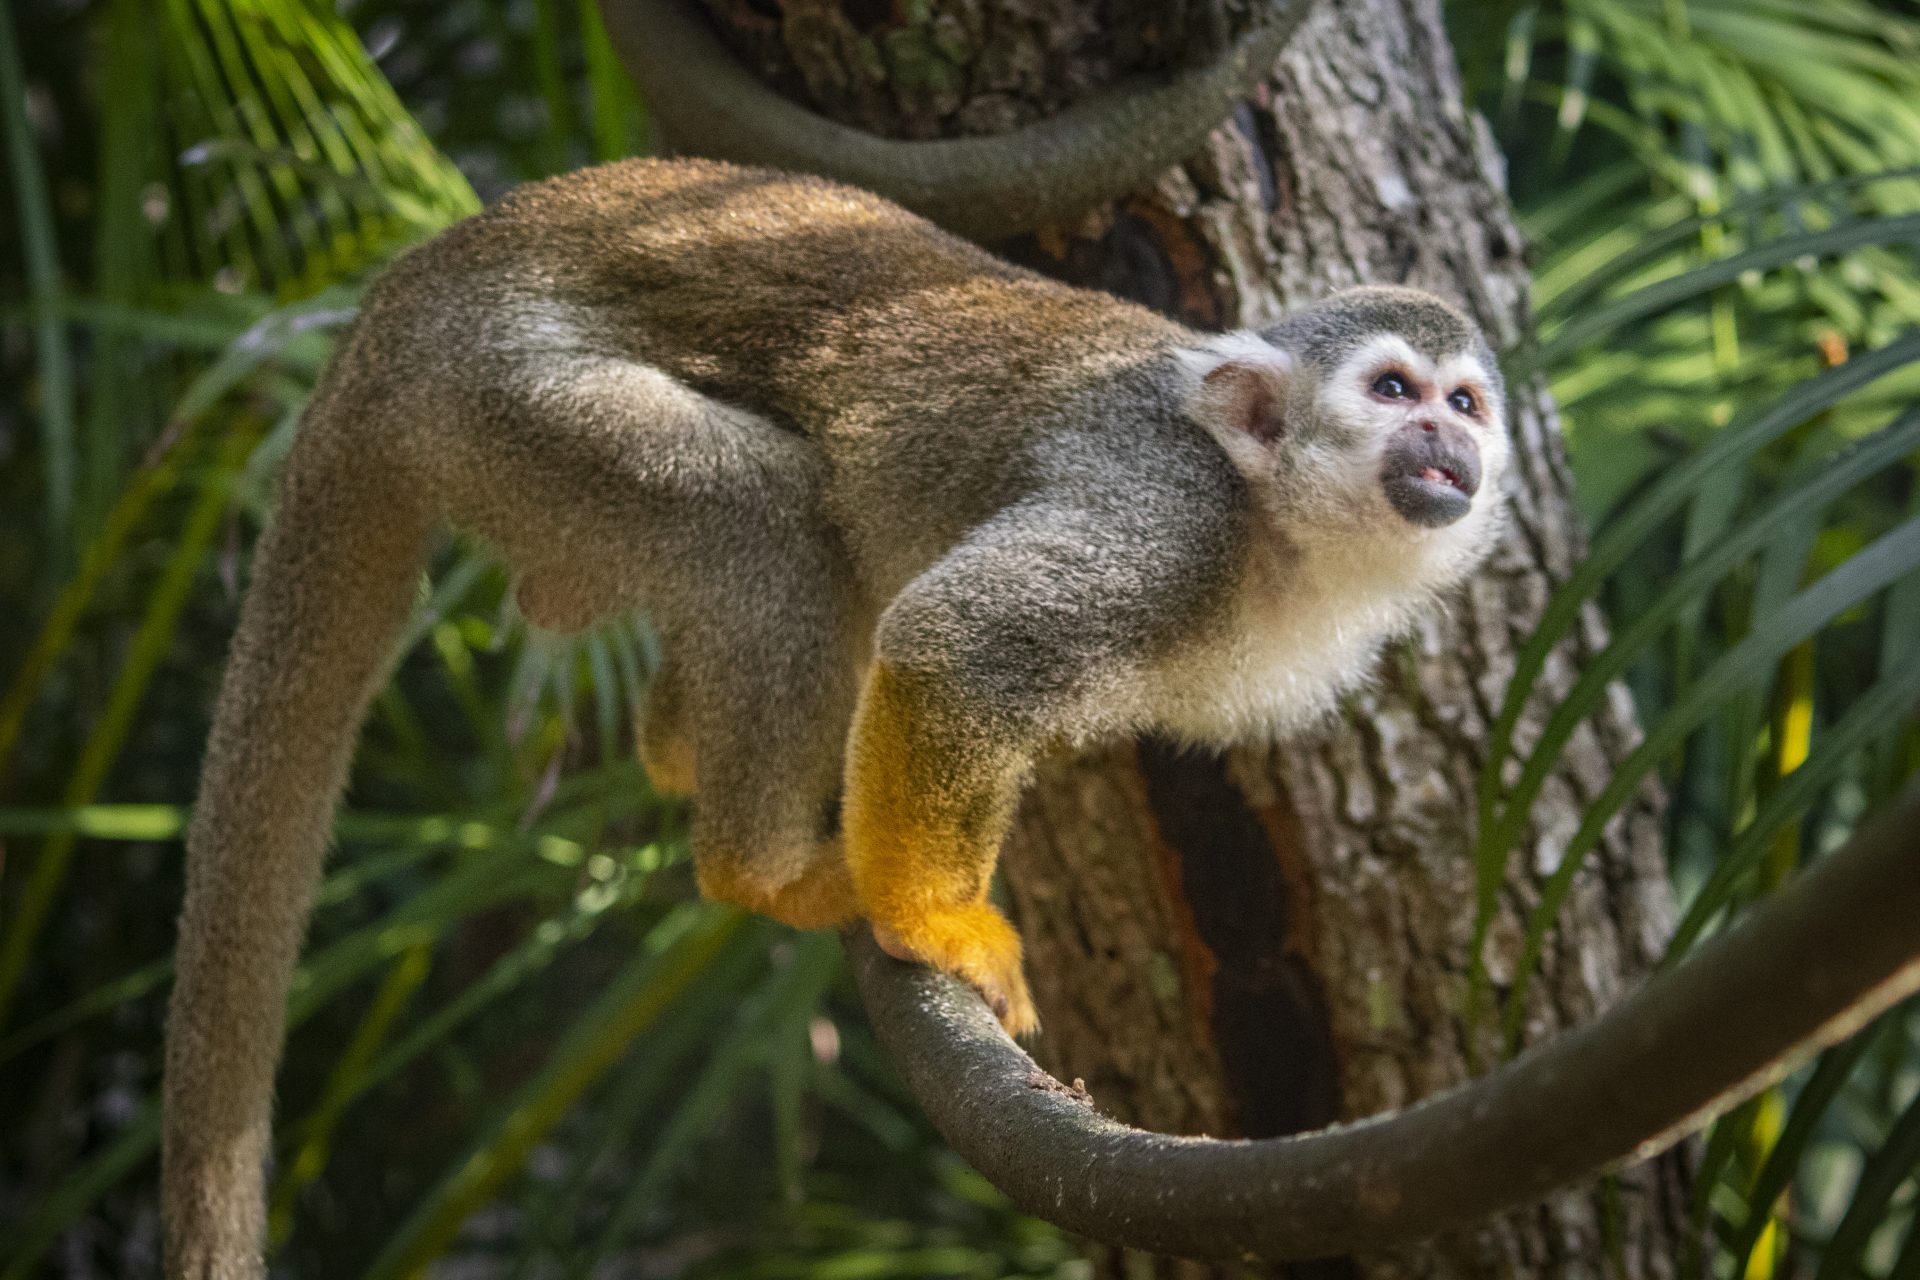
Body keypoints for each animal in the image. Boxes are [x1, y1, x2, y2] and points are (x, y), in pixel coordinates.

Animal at [162, 157, 1508, 1278]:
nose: (1445, 440)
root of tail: (408, 294)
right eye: (1393, 390)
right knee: (767, 517)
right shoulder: (1165, 516)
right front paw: (932, 920)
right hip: (507, 393)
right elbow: (958, 638)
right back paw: (761, 867)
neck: (1276, 523)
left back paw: (676, 743)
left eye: (1466, 404)